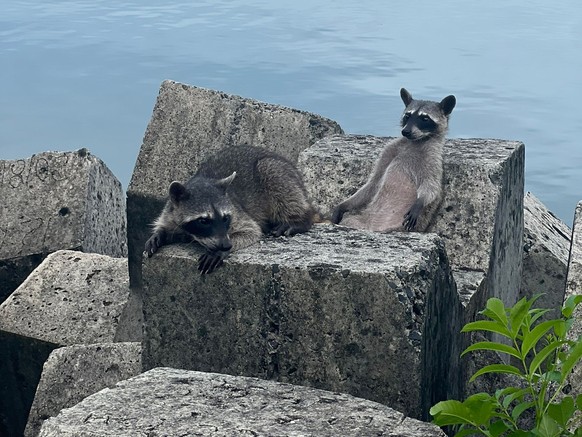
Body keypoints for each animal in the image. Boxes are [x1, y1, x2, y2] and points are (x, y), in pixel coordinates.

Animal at [146, 144, 320, 272]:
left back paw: (299, 220)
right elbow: (165, 224)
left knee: (282, 187)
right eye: (204, 221)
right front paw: (159, 234)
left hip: (278, 172)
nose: (226, 245)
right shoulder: (170, 212)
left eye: (225, 218)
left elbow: (252, 231)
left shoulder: (237, 213)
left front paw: (221, 251)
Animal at [330, 87, 458, 232]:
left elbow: (431, 187)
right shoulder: (389, 152)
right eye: (408, 116)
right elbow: (372, 184)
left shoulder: (432, 159)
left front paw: (420, 201)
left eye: (425, 118)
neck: (414, 141)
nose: (405, 131)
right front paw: (343, 205)